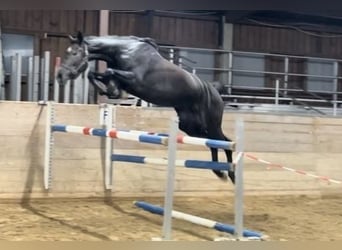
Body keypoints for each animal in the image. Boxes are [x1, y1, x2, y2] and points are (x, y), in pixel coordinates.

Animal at [56, 31, 235, 184]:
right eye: (67, 51)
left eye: (74, 53)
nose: (60, 76)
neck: (123, 50)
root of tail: (215, 92)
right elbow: (94, 74)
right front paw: (109, 91)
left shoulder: (134, 79)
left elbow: (108, 71)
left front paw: (112, 92)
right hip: (191, 127)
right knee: (213, 143)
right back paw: (219, 172)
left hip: (210, 125)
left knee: (225, 142)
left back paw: (230, 174)